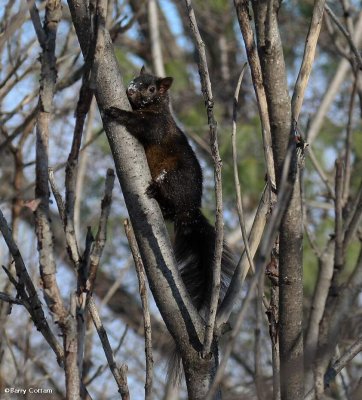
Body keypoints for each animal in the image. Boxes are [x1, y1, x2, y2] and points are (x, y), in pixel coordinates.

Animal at [104, 67, 235, 312]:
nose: (130, 90)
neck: (152, 108)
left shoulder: (158, 124)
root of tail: (191, 211)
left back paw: (156, 193)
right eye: (135, 79)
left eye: (151, 89)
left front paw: (116, 112)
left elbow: (143, 126)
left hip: (173, 179)